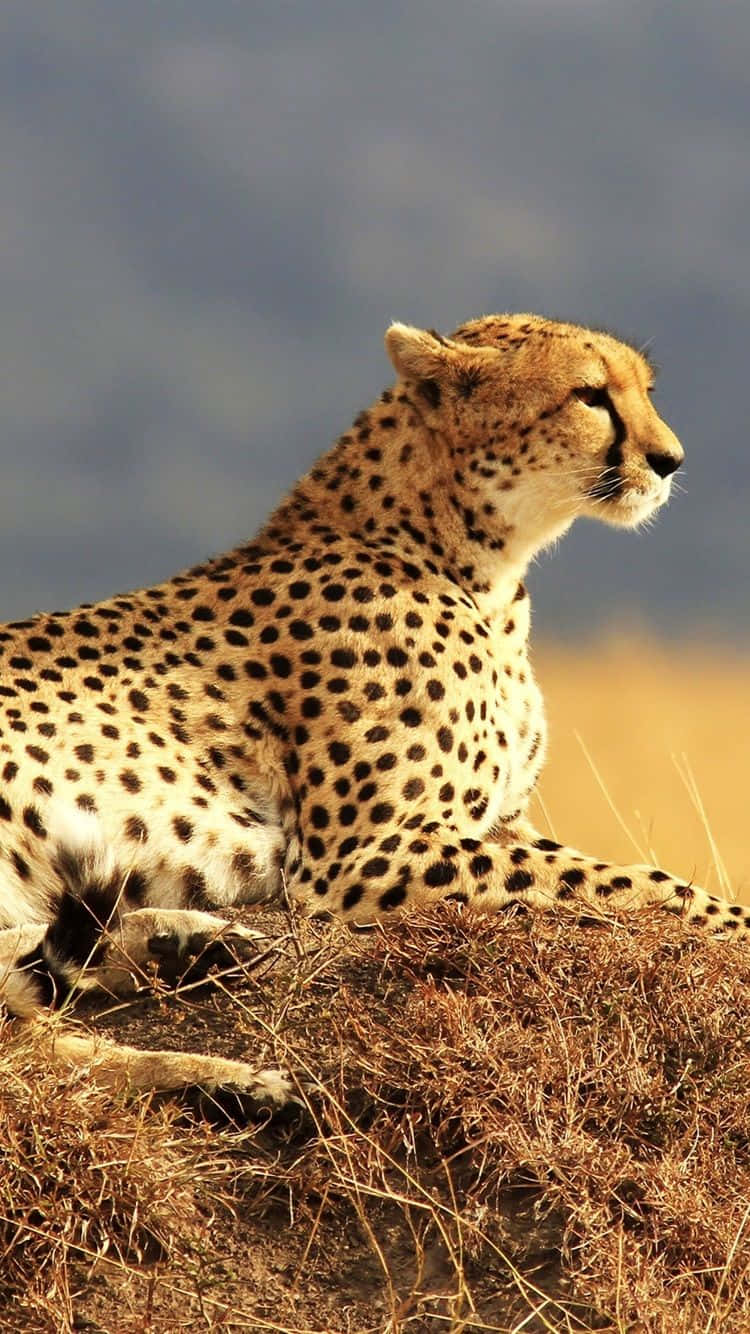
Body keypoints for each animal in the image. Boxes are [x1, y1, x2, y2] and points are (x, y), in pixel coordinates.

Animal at [1, 312, 746, 1112]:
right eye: (590, 395)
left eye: (644, 390)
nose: (670, 460)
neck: (472, 558)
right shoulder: (361, 858)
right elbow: (632, 880)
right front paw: (733, 921)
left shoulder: (497, 823)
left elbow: (605, 870)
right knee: (29, 1053)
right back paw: (229, 1072)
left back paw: (187, 954)